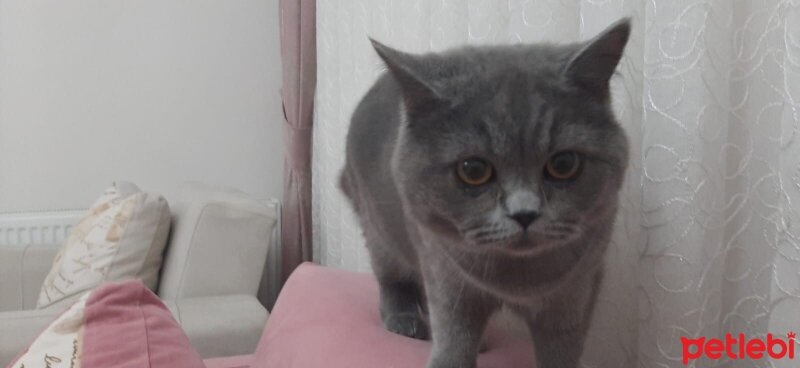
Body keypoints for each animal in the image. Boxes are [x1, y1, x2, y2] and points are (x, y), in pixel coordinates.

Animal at [340, 19, 632, 368]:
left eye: (564, 164)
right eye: (473, 170)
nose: (524, 213)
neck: (518, 280)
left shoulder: (578, 290)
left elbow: (562, 348)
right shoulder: (445, 272)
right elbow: (453, 335)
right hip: (377, 227)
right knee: (390, 274)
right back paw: (403, 320)